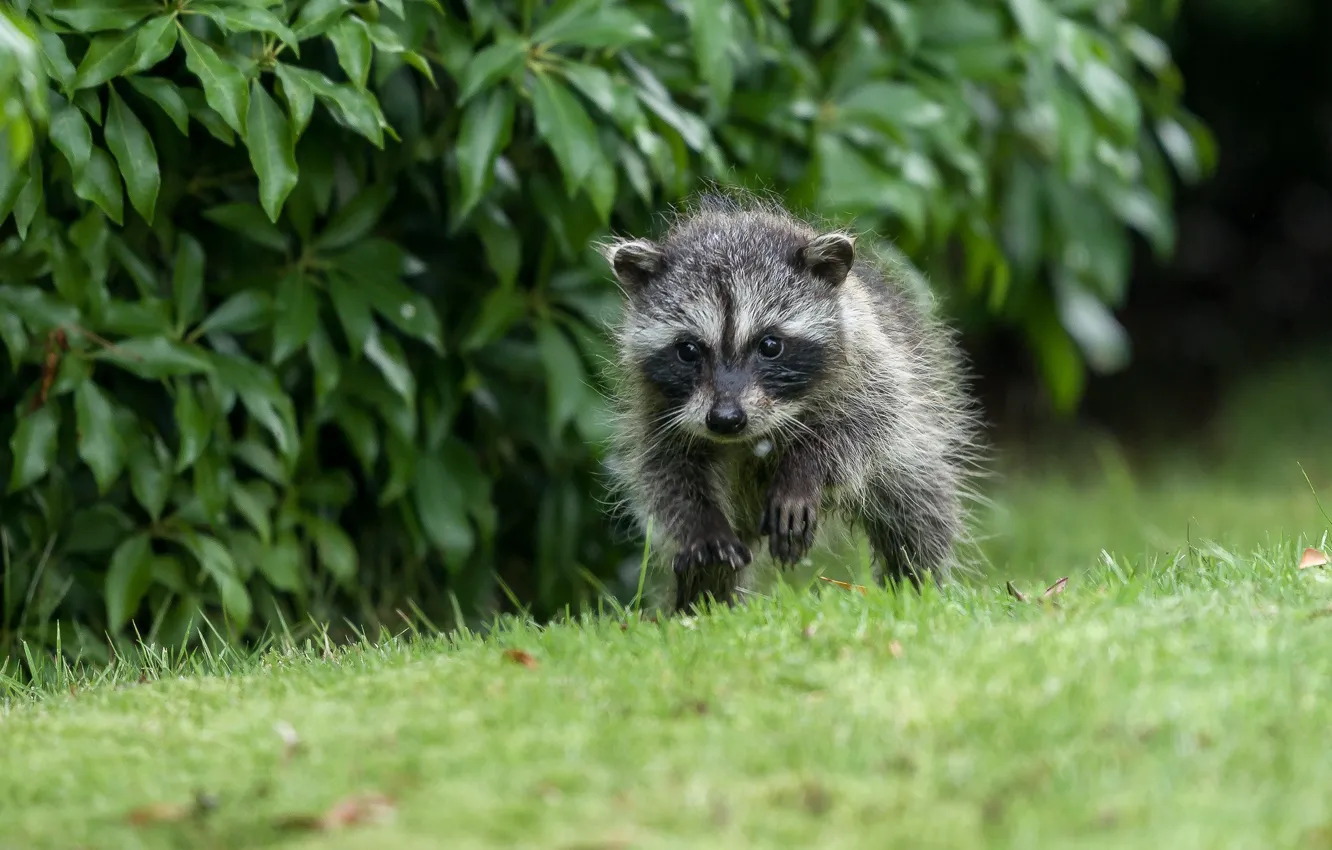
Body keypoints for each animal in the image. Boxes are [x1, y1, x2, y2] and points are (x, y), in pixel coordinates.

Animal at [599, 191, 985, 612]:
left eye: (770, 345)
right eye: (687, 350)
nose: (725, 419)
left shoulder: (872, 362)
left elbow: (862, 427)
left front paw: (805, 469)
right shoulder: (655, 405)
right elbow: (666, 468)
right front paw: (702, 524)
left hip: (914, 442)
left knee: (918, 509)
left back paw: (915, 584)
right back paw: (702, 603)